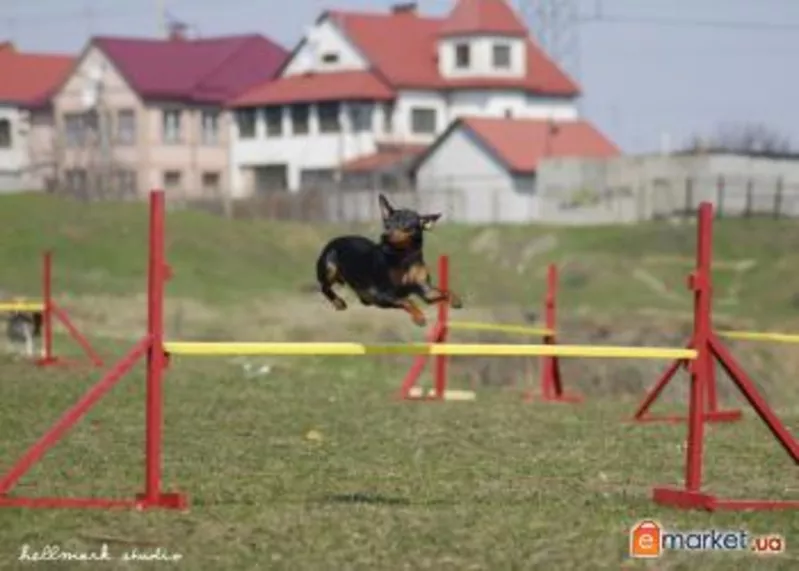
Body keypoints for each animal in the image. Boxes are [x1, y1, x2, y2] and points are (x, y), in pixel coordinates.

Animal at [314, 194, 462, 326]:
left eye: (405, 224)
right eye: (387, 224)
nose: (384, 235)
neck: (404, 256)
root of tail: (332, 242)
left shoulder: (426, 290)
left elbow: (445, 291)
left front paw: (455, 300)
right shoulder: (383, 293)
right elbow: (407, 300)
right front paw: (419, 316)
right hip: (330, 266)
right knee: (324, 287)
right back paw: (338, 302)